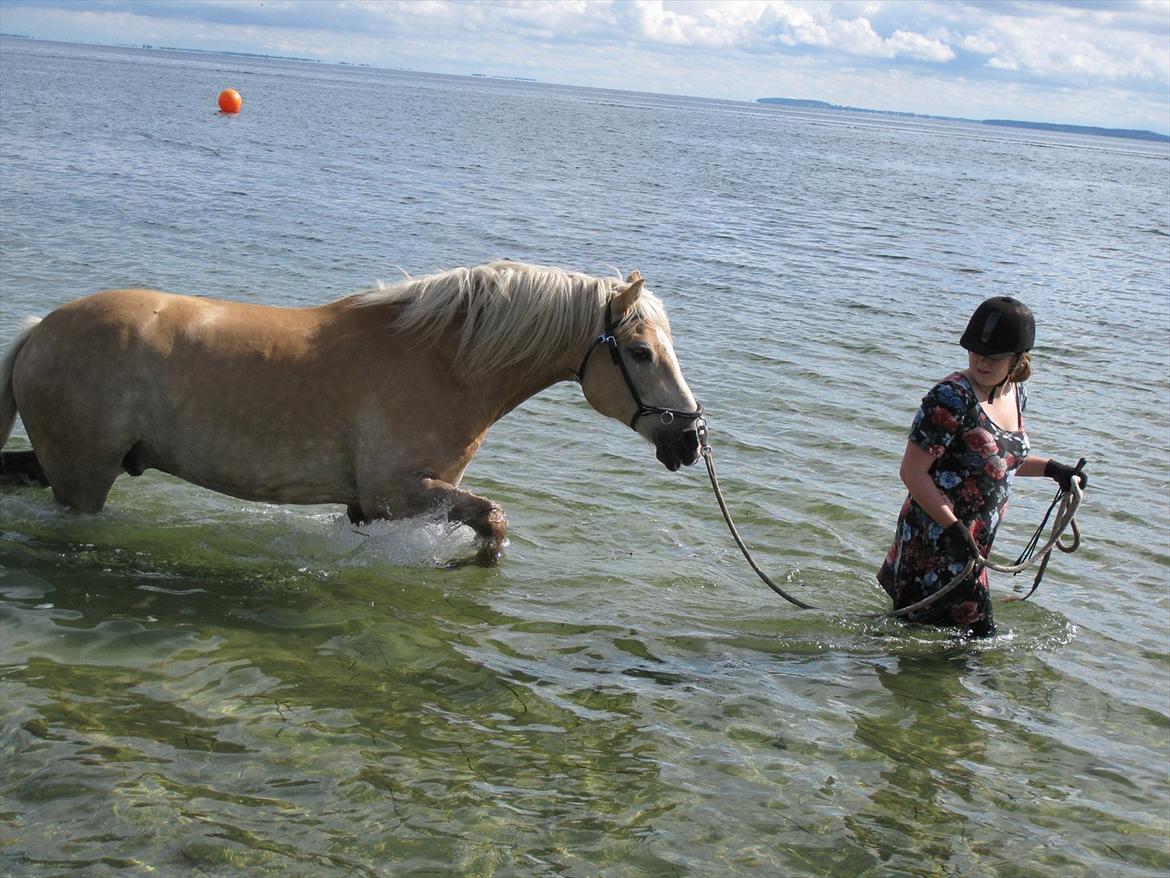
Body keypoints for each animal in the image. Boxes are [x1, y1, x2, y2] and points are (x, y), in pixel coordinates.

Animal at [0, 261, 697, 564]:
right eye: (640, 352)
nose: (688, 438)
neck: (443, 360)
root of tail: (38, 331)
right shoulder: (396, 490)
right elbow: (494, 524)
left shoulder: (372, 505)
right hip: (83, 477)